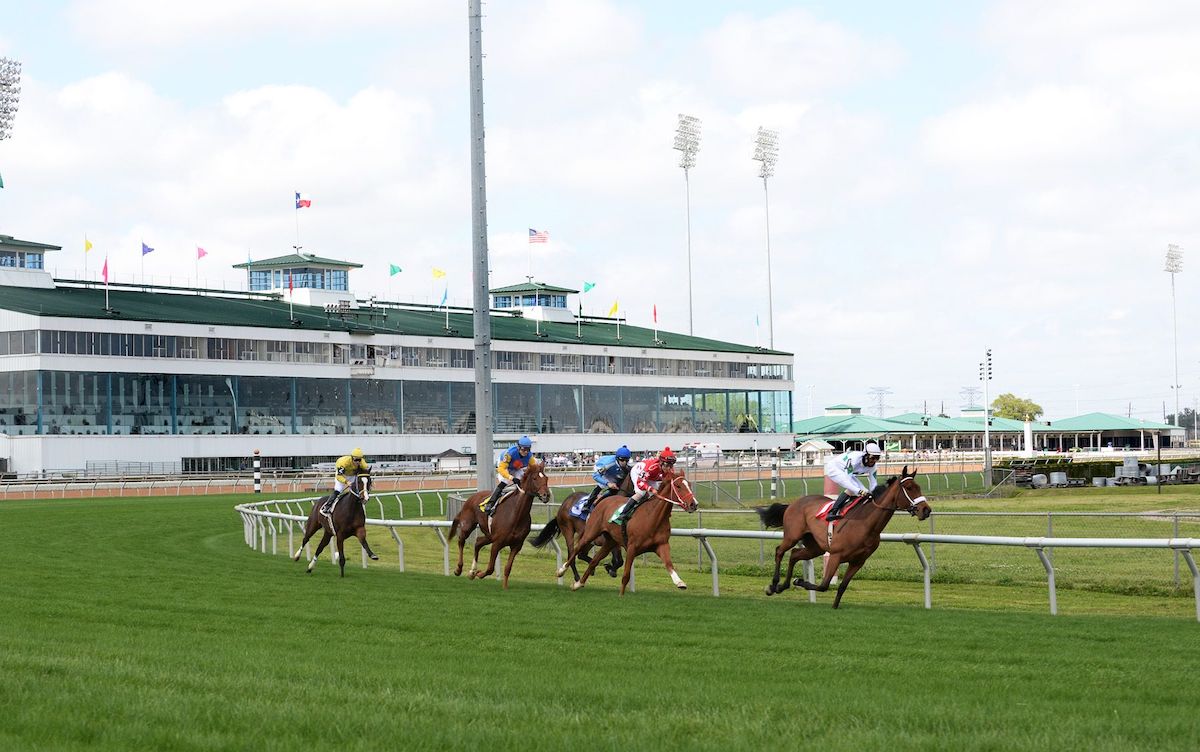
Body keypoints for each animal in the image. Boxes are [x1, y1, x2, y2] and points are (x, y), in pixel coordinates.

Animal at [446, 458, 549, 587]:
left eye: (546, 478)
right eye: (535, 478)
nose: (546, 495)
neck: (516, 514)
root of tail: (472, 497)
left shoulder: (516, 545)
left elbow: (507, 568)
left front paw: (504, 587)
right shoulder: (497, 543)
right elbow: (490, 568)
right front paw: (480, 574)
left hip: (489, 535)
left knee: (478, 542)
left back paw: (472, 571)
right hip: (468, 526)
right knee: (461, 541)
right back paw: (459, 569)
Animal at [552, 467, 696, 597]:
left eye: (689, 485)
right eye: (678, 486)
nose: (693, 504)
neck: (653, 517)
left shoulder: (661, 545)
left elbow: (669, 564)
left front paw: (680, 583)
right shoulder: (632, 547)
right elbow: (625, 575)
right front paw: (621, 596)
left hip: (610, 541)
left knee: (594, 560)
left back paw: (578, 584)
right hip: (588, 533)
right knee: (575, 550)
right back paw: (561, 571)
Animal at [753, 467, 931, 609]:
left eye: (919, 487)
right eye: (909, 487)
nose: (926, 510)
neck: (865, 524)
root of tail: (793, 503)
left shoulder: (858, 561)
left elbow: (842, 586)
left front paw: (834, 606)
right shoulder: (836, 555)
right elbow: (824, 585)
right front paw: (799, 581)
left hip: (815, 547)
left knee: (795, 554)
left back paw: (782, 586)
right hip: (792, 536)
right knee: (780, 551)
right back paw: (773, 585)